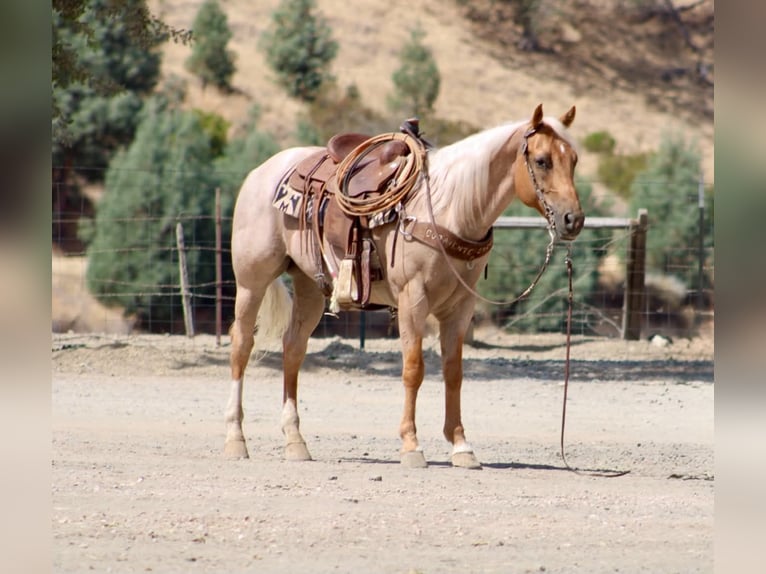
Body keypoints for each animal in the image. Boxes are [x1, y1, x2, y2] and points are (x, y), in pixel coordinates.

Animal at [225, 103, 584, 469]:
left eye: (573, 160)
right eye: (541, 160)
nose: (573, 220)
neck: (448, 207)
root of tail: (261, 172)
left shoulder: (460, 307)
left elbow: (454, 373)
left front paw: (461, 446)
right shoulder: (414, 300)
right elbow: (414, 369)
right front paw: (411, 446)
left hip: (309, 285)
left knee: (293, 348)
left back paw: (295, 441)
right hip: (252, 281)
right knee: (242, 344)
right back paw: (236, 439)